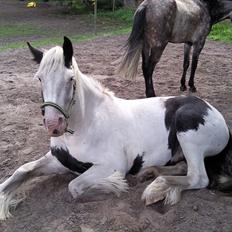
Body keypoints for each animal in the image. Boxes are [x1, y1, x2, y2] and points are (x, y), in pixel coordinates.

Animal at [0, 36, 232, 219]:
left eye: (70, 79)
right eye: (39, 78)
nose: (53, 125)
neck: (86, 126)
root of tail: (212, 111)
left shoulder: (111, 164)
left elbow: (75, 187)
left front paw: (115, 185)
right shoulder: (57, 160)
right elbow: (22, 171)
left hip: (187, 131)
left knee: (198, 177)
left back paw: (155, 189)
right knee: (183, 167)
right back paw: (148, 173)